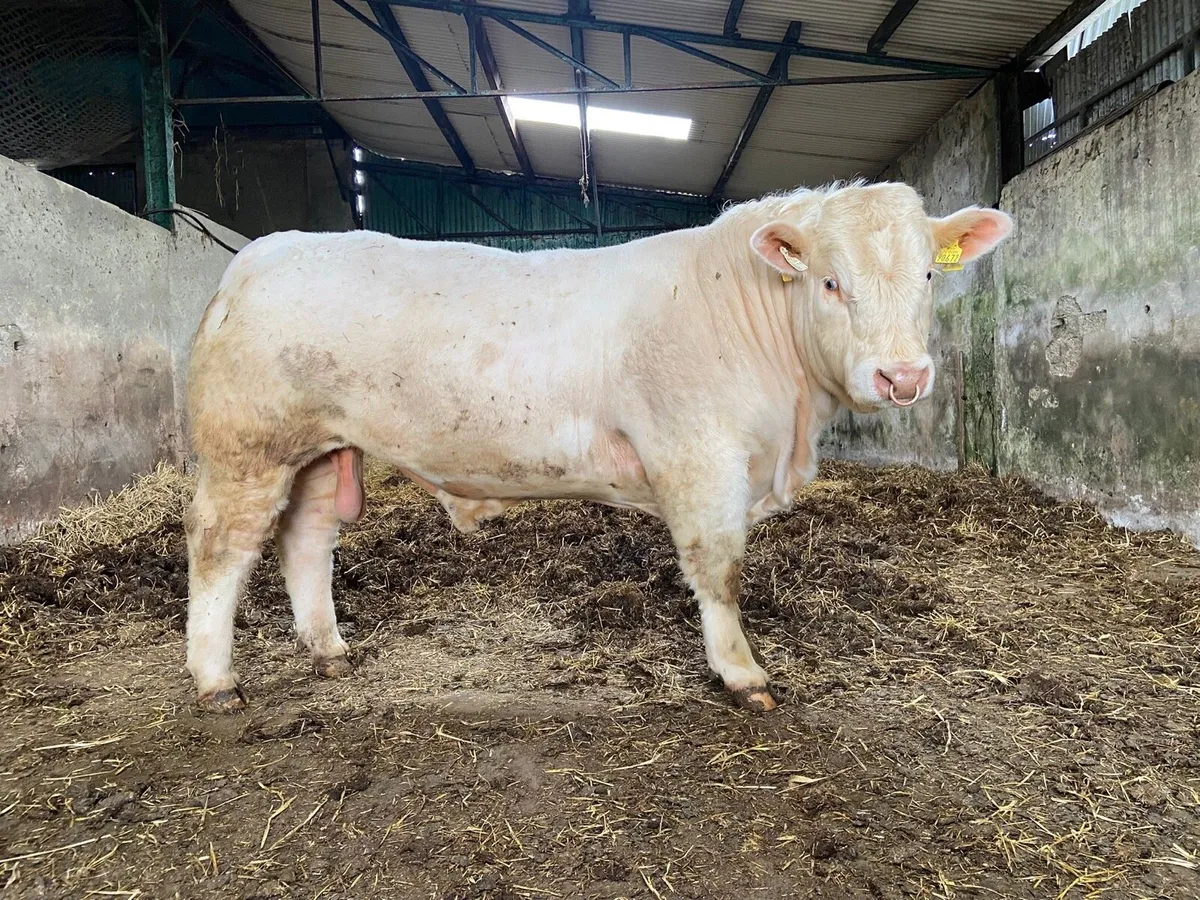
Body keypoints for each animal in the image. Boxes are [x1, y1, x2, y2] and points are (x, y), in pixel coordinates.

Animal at [183, 180, 1012, 714]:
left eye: (929, 275)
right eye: (832, 282)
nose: (902, 376)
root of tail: (260, 254)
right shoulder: (701, 458)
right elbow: (720, 570)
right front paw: (742, 673)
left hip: (321, 449)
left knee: (305, 540)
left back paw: (329, 649)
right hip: (247, 446)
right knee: (221, 546)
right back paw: (215, 680)